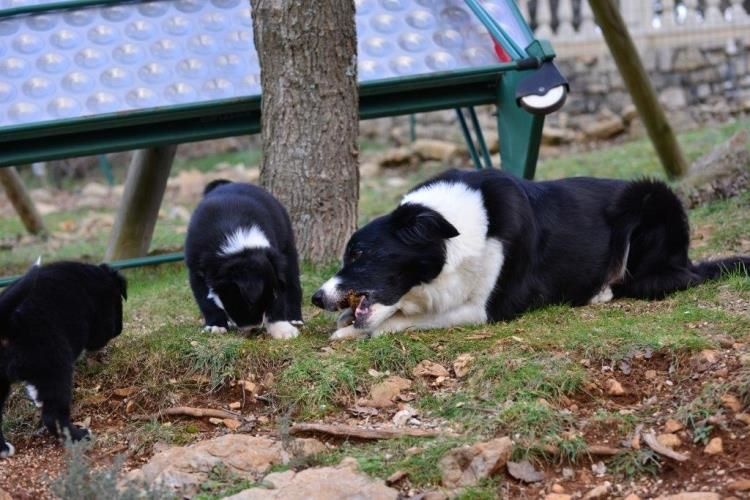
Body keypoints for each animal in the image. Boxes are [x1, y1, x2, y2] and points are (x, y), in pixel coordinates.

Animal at [0, 262, 126, 458]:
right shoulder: (101, 320)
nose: (120, 330)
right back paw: (79, 436)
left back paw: (4, 448)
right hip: (55, 363)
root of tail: (10, 322)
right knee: (53, 415)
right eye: (118, 301)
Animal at [184, 181, 302, 340]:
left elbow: (279, 298)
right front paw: (215, 325)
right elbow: (206, 300)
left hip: (287, 248)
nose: (255, 328)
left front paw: (282, 328)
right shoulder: (196, 270)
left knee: (292, 284)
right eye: (249, 303)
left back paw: (295, 319)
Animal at [312, 168, 750, 340]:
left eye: (360, 253)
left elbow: (406, 320)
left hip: (650, 197)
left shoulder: (492, 307)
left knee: (664, 280)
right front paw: (346, 322)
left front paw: (351, 331)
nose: (316, 297)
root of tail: (687, 258)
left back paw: (603, 290)